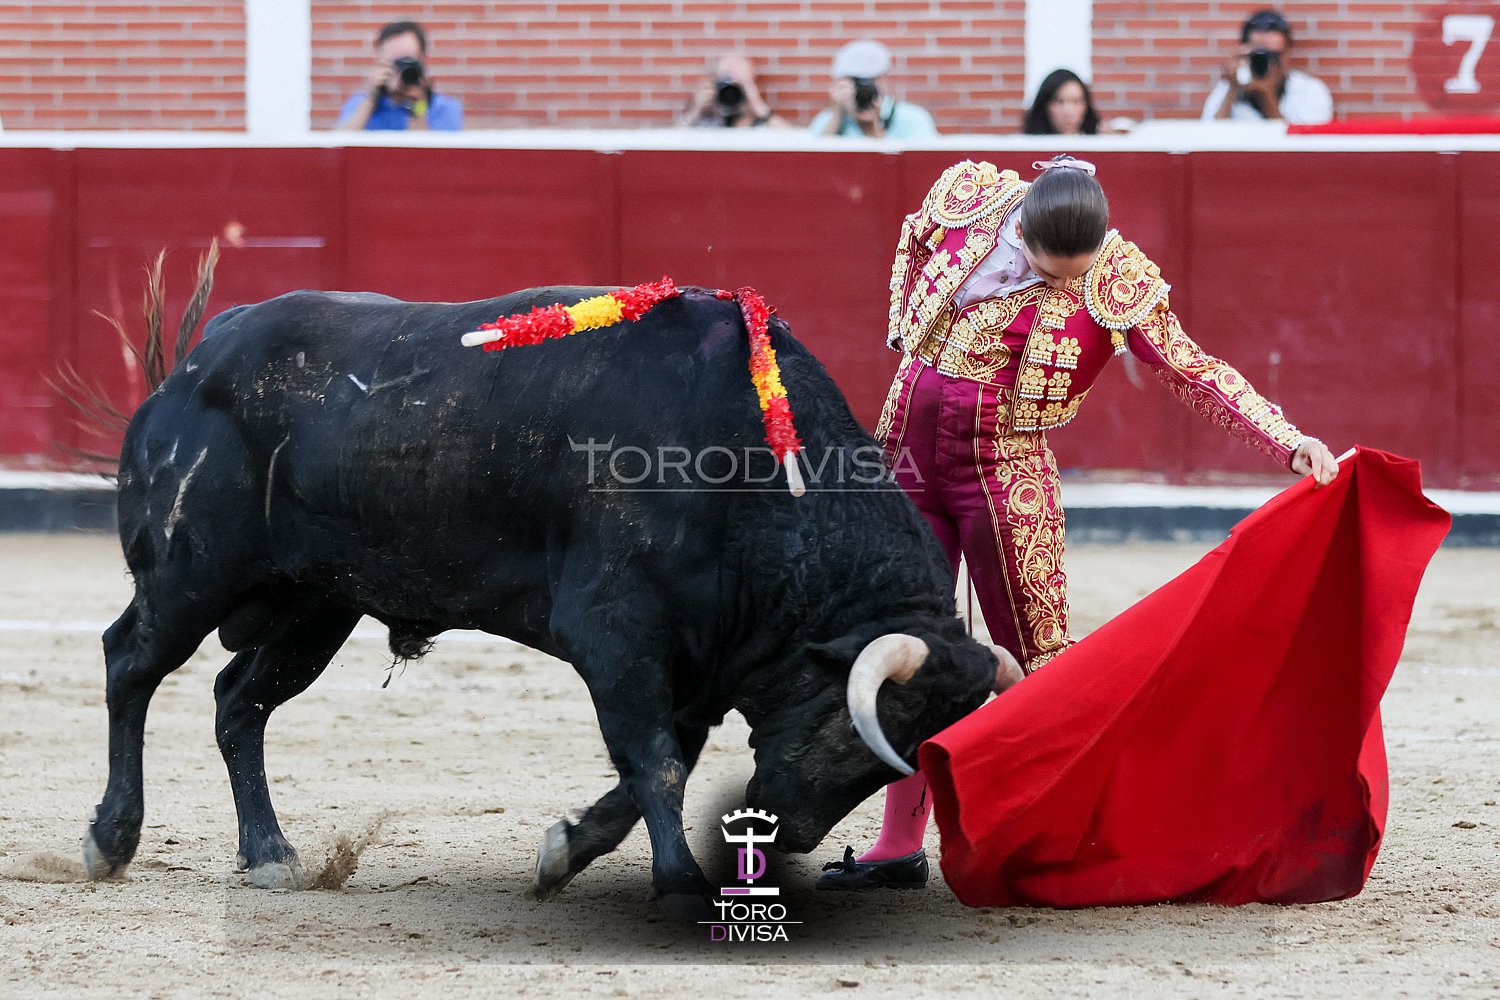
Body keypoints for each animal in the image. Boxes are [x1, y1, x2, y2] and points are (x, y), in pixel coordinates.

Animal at [80, 284, 1003, 916]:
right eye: (857, 729)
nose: (790, 831)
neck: (744, 465)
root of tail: (204, 355)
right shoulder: (618, 634)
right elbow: (655, 762)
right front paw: (680, 884)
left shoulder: (698, 661)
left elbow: (647, 768)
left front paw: (562, 853)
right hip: (191, 576)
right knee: (130, 663)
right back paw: (110, 840)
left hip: (316, 606)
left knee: (238, 701)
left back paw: (269, 854)